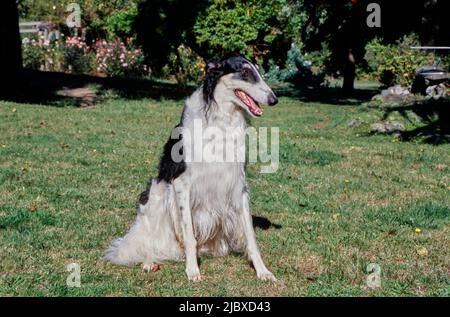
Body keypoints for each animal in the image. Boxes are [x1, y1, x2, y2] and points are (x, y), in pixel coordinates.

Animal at [106, 55, 278, 282]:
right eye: (245, 72)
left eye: (257, 71)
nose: (274, 99)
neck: (221, 120)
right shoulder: (182, 183)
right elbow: (189, 235)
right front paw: (193, 270)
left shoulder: (238, 184)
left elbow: (250, 235)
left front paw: (262, 270)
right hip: (157, 193)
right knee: (149, 242)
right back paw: (150, 262)